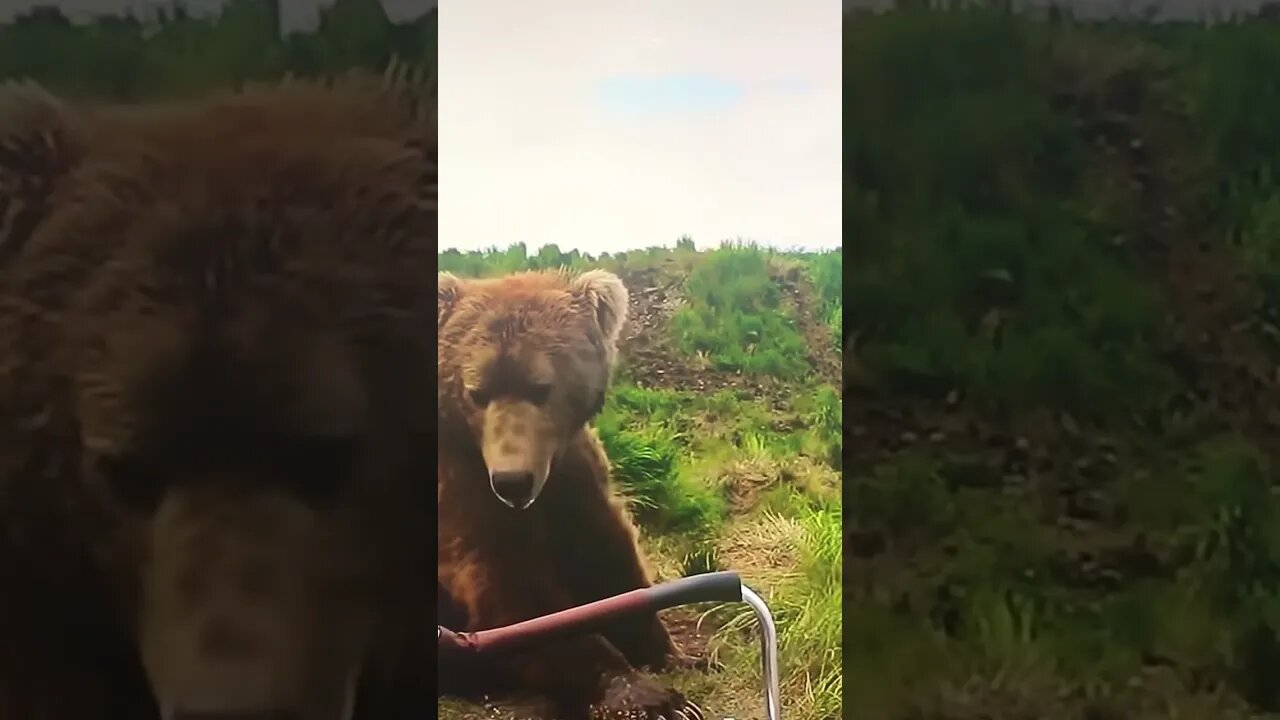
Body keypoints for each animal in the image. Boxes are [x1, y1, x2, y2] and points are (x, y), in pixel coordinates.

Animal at [436, 269, 703, 720]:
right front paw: (651, 698)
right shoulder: (462, 492)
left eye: (541, 388)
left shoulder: (574, 479)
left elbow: (608, 556)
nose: (512, 480)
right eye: (476, 392)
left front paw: (673, 653)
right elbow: (517, 598)